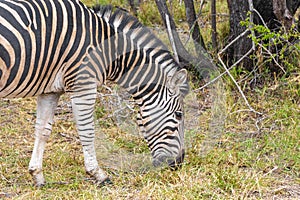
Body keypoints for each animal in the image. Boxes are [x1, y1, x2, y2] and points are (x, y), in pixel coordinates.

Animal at [0, 0, 189, 186]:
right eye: (178, 115)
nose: (178, 163)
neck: (107, 48)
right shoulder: (83, 85)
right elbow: (87, 131)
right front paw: (98, 174)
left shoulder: (50, 90)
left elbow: (43, 130)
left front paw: (37, 174)